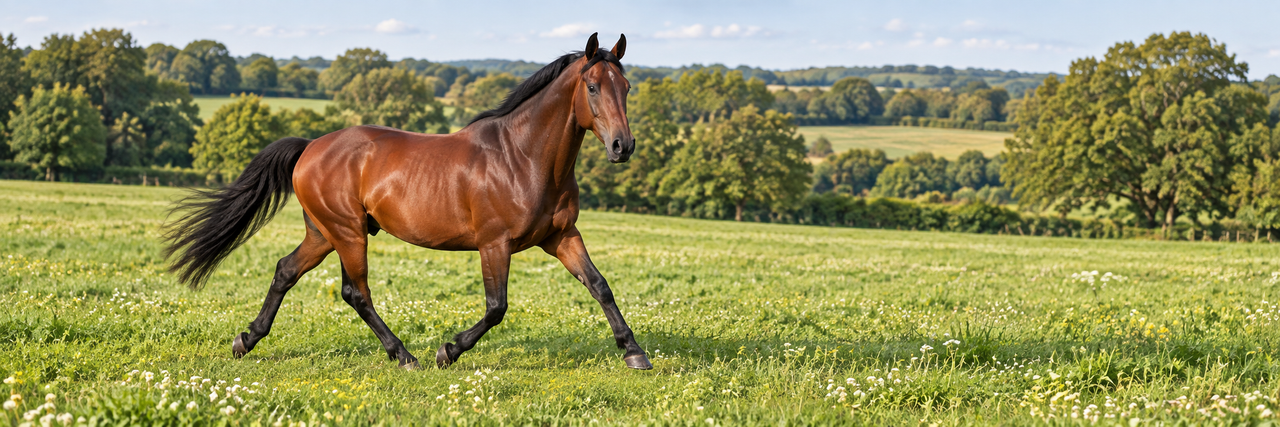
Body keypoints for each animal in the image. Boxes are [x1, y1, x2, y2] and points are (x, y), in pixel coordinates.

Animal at [163, 33, 650, 370]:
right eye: (592, 86)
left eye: (627, 86)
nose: (622, 147)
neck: (523, 158)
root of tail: (310, 147)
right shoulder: (495, 244)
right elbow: (496, 308)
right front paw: (447, 351)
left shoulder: (562, 236)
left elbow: (600, 286)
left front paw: (634, 352)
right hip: (347, 232)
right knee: (356, 293)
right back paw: (405, 355)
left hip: (324, 233)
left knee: (287, 271)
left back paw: (246, 340)